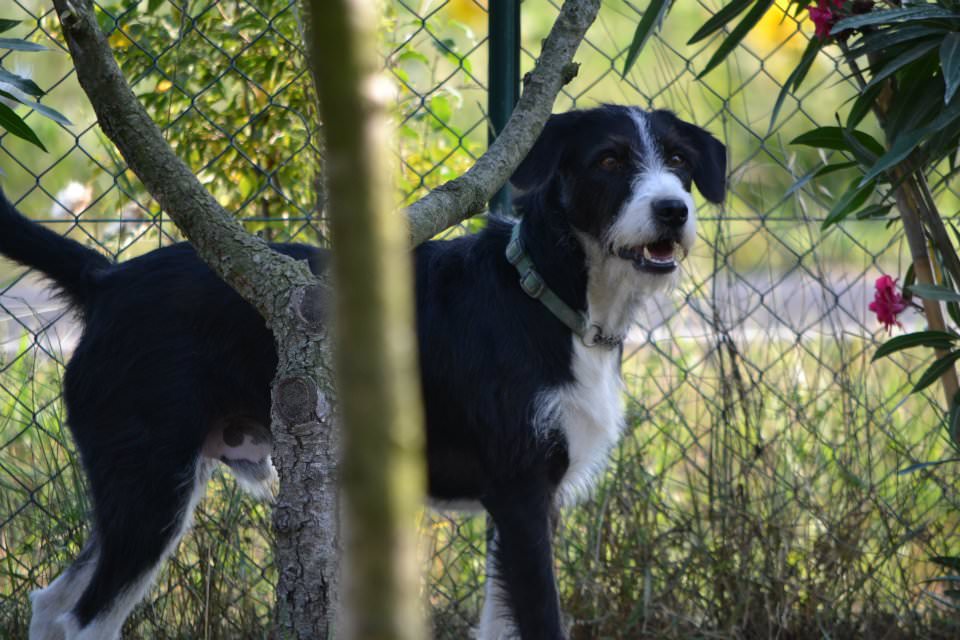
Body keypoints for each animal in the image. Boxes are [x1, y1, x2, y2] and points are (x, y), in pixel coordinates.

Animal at [0, 102, 720, 636]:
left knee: (52, 605)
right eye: (609, 160)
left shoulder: (522, 508)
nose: (673, 210)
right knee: (85, 619)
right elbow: (542, 622)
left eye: (679, 162)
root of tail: (106, 278)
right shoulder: (519, 493)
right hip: (149, 487)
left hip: (136, 490)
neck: (543, 294)